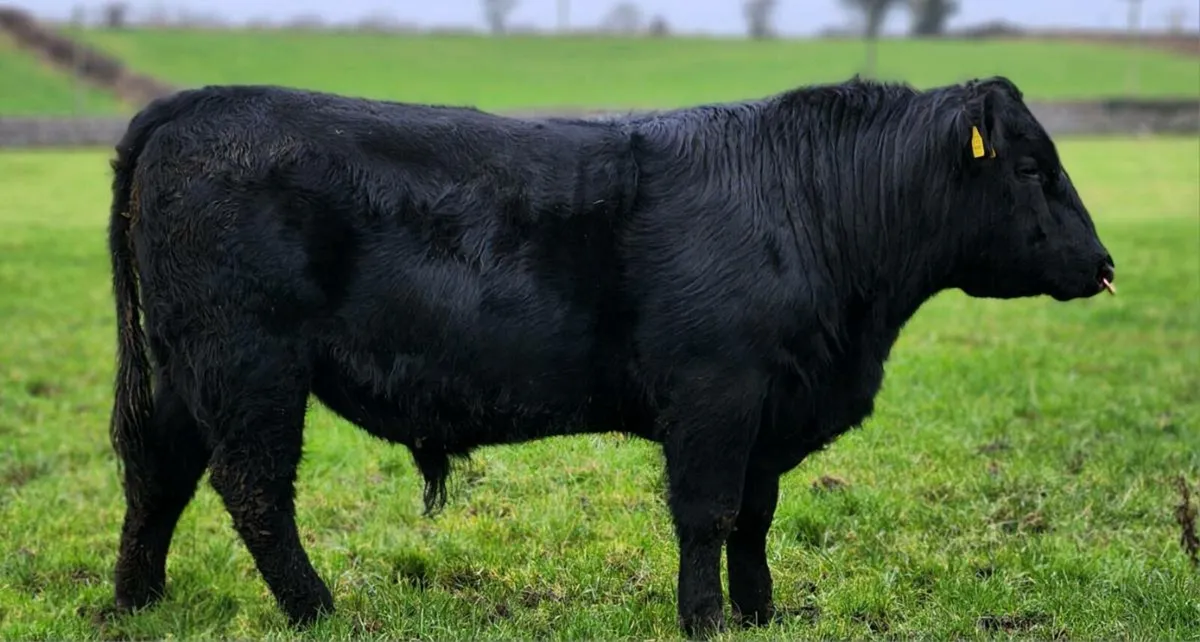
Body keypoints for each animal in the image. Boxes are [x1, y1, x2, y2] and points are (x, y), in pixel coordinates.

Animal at [105, 75, 1115, 637]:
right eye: (1033, 168)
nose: (1104, 265)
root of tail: (199, 103)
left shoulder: (769, 410)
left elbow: (755, 519)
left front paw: (760, 614)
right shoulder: (715, 396)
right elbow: (708, 516)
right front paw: (705, 621)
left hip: (186, 371)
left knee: (157, 474)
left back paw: (134, 601)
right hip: (248, 364)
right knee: (255, 491)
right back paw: (319, 613)